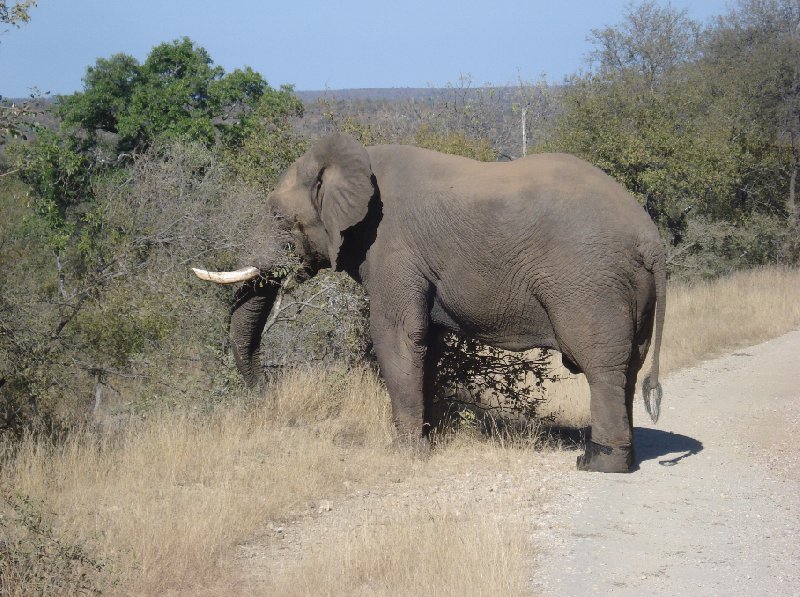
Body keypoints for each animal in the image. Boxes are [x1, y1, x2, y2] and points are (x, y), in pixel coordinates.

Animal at [192, 133, 664, 472]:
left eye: (278, 218)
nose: (268, 393)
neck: (356, 158)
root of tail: (651, 239)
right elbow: (428, 343)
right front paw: (428, 438)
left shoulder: (391, 246)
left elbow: (397, 337)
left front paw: (405, 453)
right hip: (628, 288)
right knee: (629, 366)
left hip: (589, 282)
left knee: (601, 367)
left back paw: (595, 464)